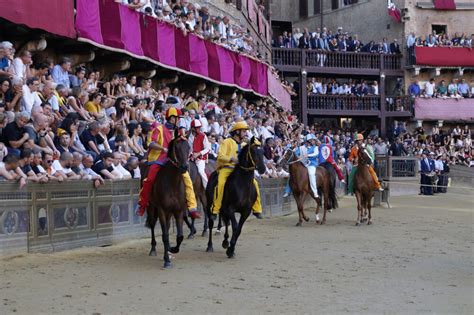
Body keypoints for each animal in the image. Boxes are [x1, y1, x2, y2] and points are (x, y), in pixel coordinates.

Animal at [145, 136, 190, 270]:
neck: (172, 183)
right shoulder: (161, 210)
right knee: (152, 224)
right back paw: (153, 249)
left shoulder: (178, 210)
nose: (185, 167)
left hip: (169, 212)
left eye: (188, 147)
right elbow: (164, 235)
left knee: (168, 226)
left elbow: (179, 236)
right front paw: (167, 260)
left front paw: (172, 249)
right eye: (176, 148)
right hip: (151, 207)